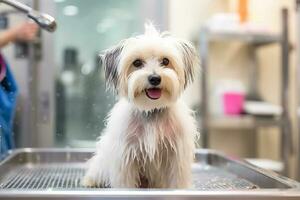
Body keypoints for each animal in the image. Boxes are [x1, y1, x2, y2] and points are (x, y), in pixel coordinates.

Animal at [82, 23, 199, 189]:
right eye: (137, 63)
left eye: (165, 61)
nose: (155, 78)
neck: (151, 110)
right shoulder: (126, 156)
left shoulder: (176, 156)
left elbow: (176, 181)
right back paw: (90, 180)